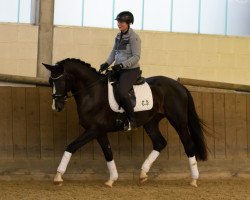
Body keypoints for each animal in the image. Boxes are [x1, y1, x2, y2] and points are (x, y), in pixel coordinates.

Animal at [42, 57, 207, 188]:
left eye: (63, 80)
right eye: (51, 81)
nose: (56, 106)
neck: (92, 93)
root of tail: (179, 86)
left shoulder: (93, 130)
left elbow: (71, 147)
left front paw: (58, 177)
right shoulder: (99, 131)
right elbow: (108, 153)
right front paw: (112, 180)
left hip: (178, 121)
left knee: (188, 145)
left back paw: (194, 180)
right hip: (151, 122)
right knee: (160, 142)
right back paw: (143, 174)